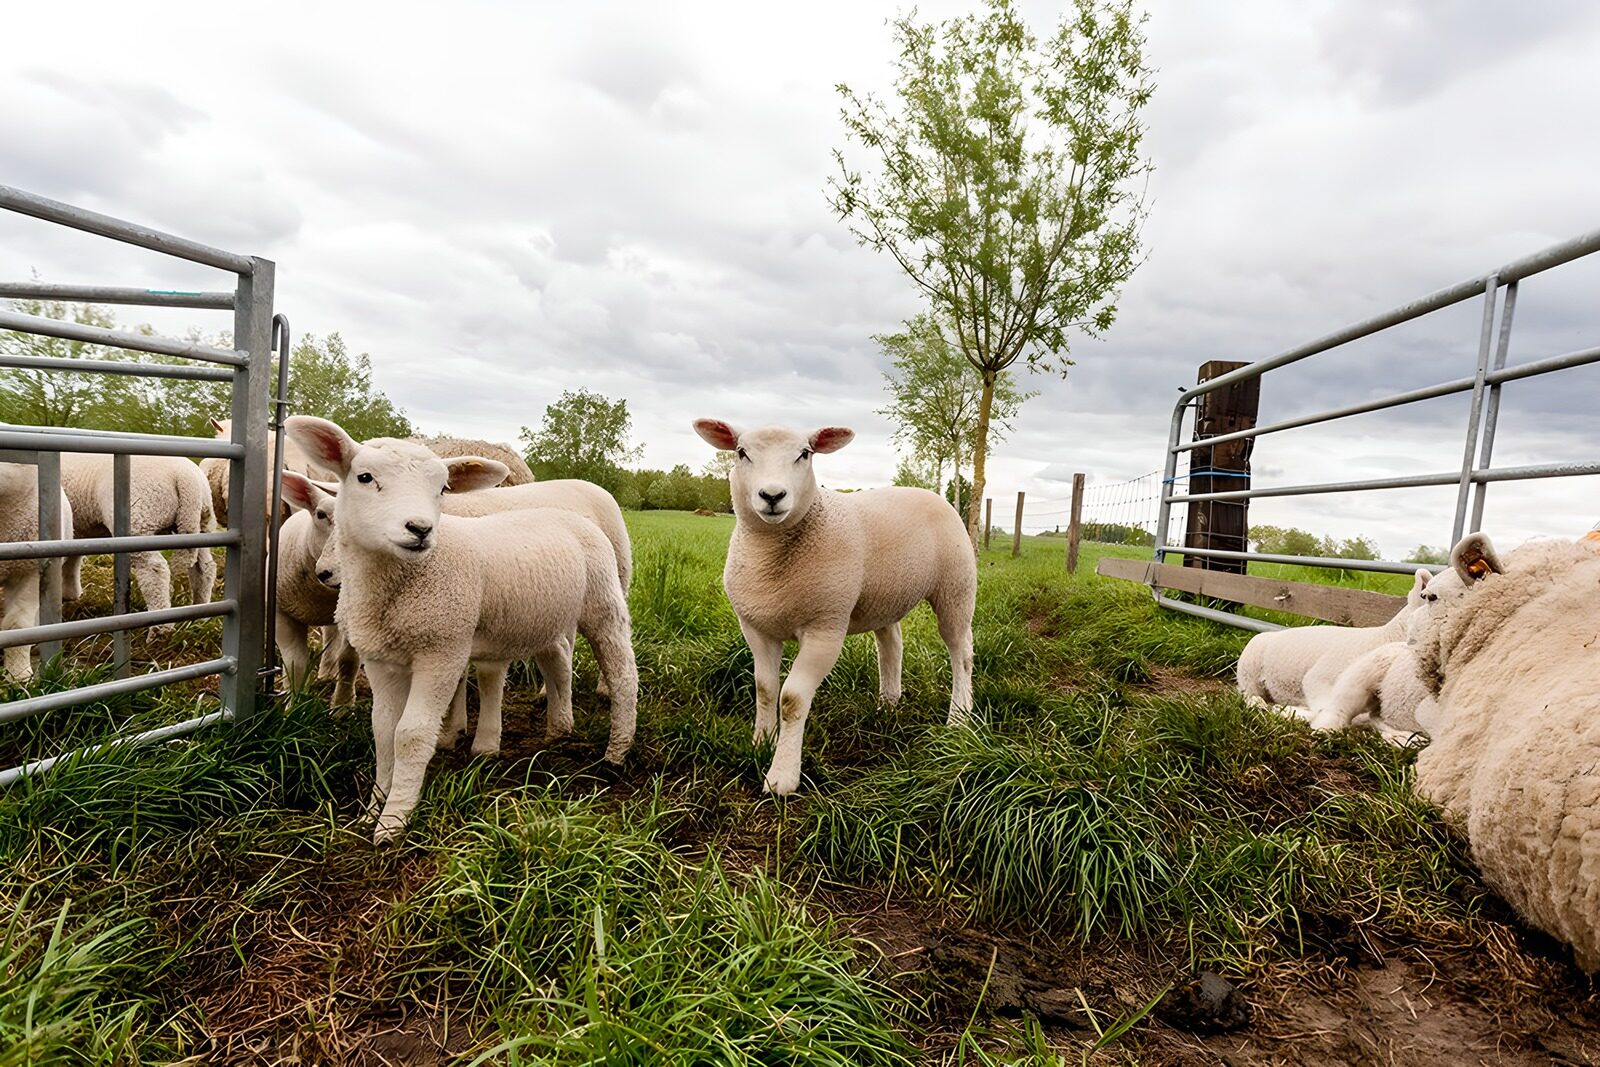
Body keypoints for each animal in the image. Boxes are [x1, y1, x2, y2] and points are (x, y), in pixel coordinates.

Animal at [60, 453, 215, 625]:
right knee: (205, 568)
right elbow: (72, 560)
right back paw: (199, 617)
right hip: (198, 523)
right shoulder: (76, 531)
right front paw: (69, 594)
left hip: (139, 523)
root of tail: (186, 477)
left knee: (155, 569)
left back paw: (160, 625)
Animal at [273, 472, 358, 706]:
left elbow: (348, 661)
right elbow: (295, 665)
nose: (330, 572)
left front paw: (342, 705)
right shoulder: (282, 616)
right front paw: (293, 704)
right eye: (320, 514)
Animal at [285, 415, 638, 843]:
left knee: (623, 674)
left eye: (443, 489)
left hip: (604, 601)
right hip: (546, 616)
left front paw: (393, 823)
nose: (419, 529)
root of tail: (573, 515)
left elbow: (411, 734)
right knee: (558, 661)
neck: (400, 584)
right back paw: (558, 730)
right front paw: (372, 810)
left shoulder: (442, 650)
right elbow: (384, 732)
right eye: (364, 477)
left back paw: (616, 752)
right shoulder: (383, 661)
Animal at [692, 419, 976, 797]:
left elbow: (792, 699)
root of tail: (930, 493)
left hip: (956, 588)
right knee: (892, 643)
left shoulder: (825, 628)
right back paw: (888, 704)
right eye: (741, 452)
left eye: (805, 453)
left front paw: (782, 777)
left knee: (961, 652)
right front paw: (761, 742)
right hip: (884, 596)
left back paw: (958, 718)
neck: (771, 560)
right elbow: (765, 690)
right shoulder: (755, 628)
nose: (772, 496)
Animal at [1234, 568, 1433, 718]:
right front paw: (1287, 711)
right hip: (1248, 666)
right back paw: (1259, 704)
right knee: (1247, 692)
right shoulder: (1320, 676)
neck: (1385, 637)